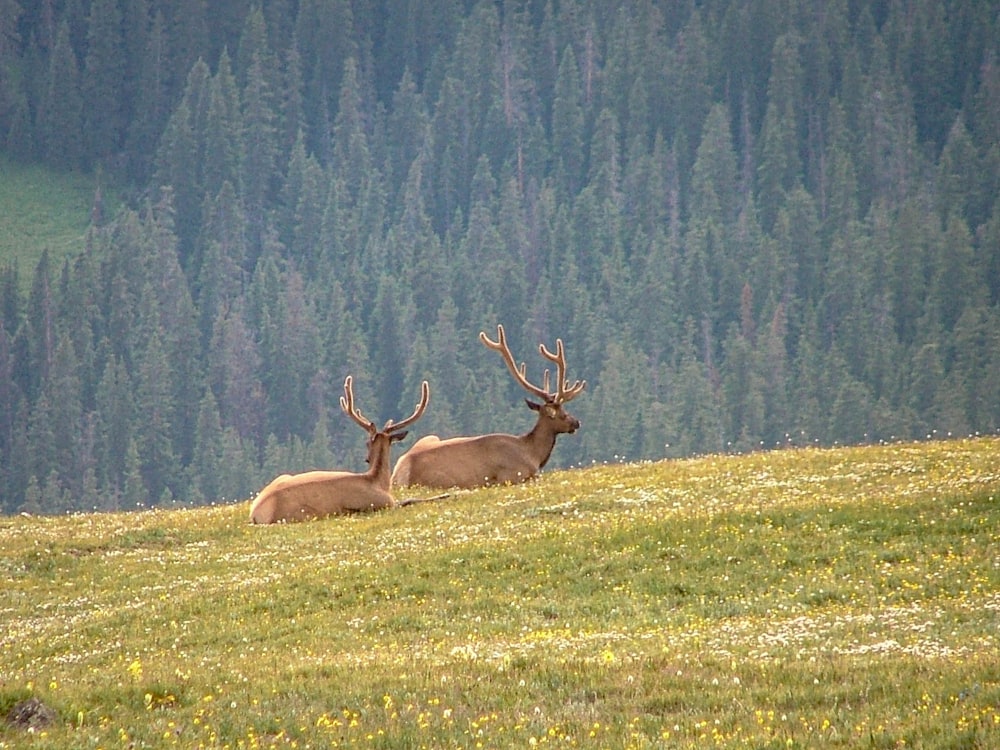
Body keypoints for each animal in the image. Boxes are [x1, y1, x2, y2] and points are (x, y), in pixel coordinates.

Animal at [250, 374, 430, 524]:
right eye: (367, 443)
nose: (367, 458)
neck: (378, 482)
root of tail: (255, 514)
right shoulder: (382, 503)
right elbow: (409, 500)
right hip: (301, 514)